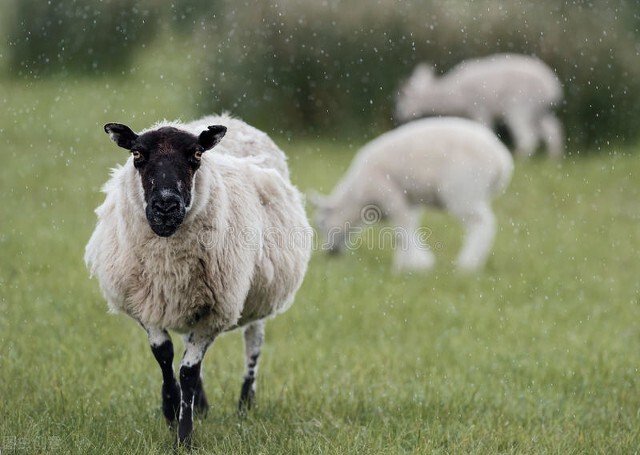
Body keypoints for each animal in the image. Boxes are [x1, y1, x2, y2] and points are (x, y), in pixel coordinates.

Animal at [84, 114, 314, 448]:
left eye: (196, 155)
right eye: (137, 154)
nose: (166, 206)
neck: (169, 264)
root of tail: (228, 119)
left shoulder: (215, 312)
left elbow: (188, 372)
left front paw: (184, 437)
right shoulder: (145, 304)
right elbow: (165, 357)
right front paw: (171, 410)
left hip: (258, 292)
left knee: (253, 344)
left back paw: (245, 405)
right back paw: (202, 406)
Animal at [310, 118, 516, 274]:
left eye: (321, 224)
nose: (329, 253)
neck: (357, 199)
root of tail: (501, 161)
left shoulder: (390, 195)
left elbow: (402, 231)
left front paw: (408, 266)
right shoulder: (409, 201)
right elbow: (410, 228)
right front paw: (415, 263)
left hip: (463, 191)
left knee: (482, 224)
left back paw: (467, 265)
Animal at [392, 53, 564, 159]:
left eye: (403, 99)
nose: (399, 116)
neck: (454, 92)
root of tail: (553, 89)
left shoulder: (480, 108)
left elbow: (486, 129)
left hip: (521, 105)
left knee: (529, 135)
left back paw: (520, 157)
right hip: (539, 110)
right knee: (552, 128)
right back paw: (553, 158)